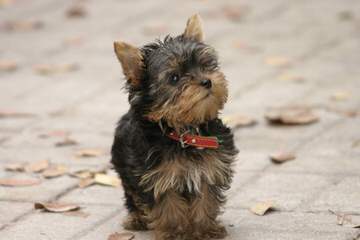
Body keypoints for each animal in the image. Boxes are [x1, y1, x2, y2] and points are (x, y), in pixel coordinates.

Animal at [111, 14, 238, 240]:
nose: (207, 81)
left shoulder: (209, 169)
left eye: (205, 66)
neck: (184, 132)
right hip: (124, 167)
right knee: (131, 194)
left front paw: (205, 230)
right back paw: (137, 218)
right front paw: (174, 232)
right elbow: (167, 206)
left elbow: (205, 200)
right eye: (174, 78)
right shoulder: (157, 177)